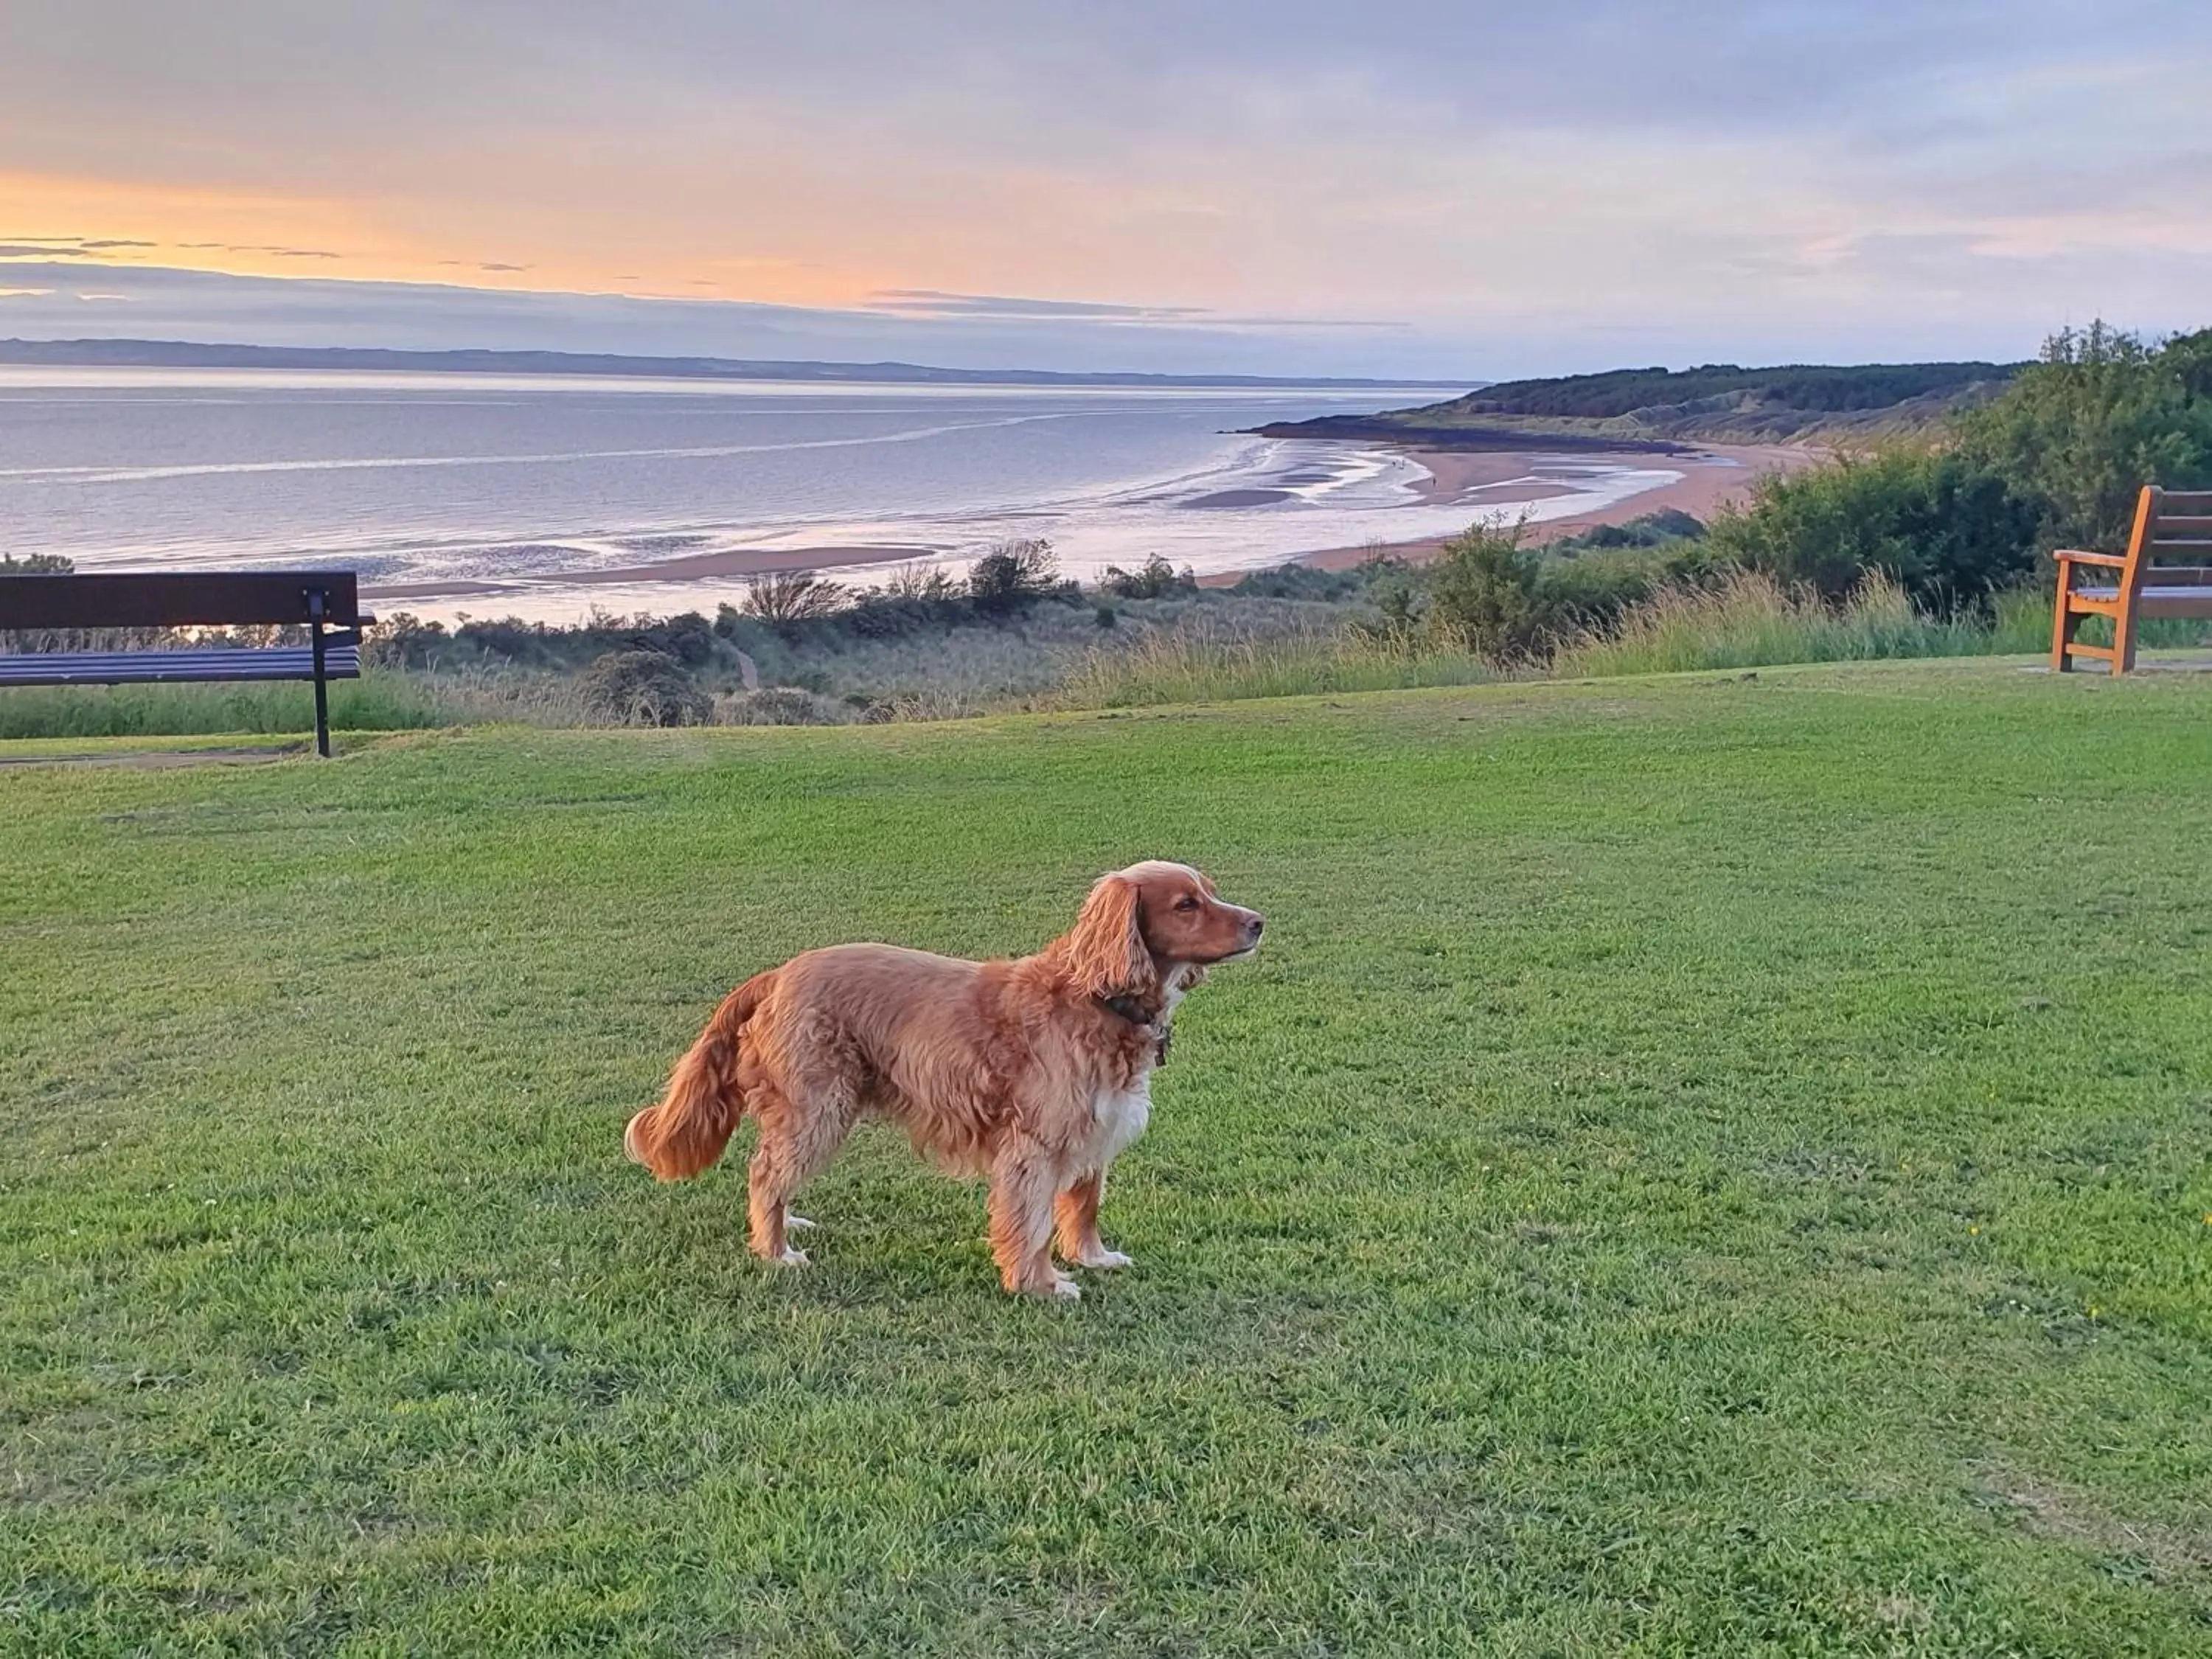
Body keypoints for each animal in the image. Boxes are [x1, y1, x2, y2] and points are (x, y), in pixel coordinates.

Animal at [633, 863, 1274, 1310]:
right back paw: (775, 1252)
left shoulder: (1094, 1131)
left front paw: (1092, 1258)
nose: (1258, 922)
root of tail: (779, 974)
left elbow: (1084, 1206)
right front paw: (1038, 1284)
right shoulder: (1035, 1146)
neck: (1098, 998)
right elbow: (1032, 1223)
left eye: (1210, 890)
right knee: (765, 1174)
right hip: (818, 1108)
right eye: (1187, 904)